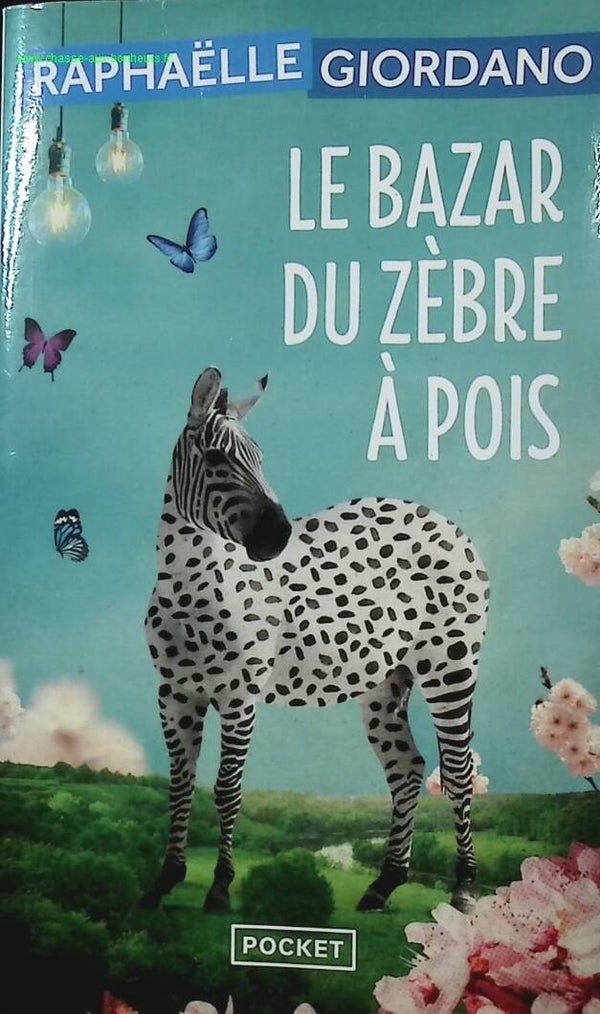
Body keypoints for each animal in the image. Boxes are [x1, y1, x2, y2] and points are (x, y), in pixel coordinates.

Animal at [142, 366, 489, 915]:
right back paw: (384, 883)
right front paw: (165, 880)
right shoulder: (174, 695)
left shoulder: (239, 697)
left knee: (457, 770)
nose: (278, 536)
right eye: (216, 459)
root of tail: (441, 520)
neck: (191, 584)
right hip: (385, 681)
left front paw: (219, 888)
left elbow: (227, 788)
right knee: (407, 768)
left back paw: (464, 888)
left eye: (261, 458)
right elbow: (180, 785)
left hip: (450, 670)